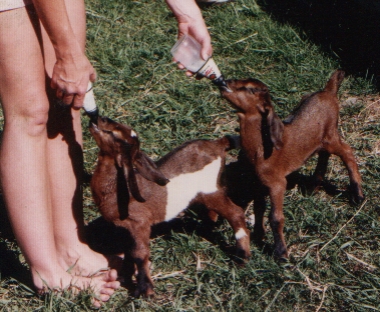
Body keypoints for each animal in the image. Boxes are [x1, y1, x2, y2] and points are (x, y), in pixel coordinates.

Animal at [88, 117, 249, 298]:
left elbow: (140, 253)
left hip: (210, 190)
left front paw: (145, 289)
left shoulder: (139, 222)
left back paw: (242, 256)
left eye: (120, 137)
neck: (117, 188)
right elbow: (130, 250)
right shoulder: (126, 229)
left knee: (235, 213)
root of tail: (218, 143)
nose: (99, 119)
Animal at [220, 70, 366, 258]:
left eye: (251, 89)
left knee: (347, 152)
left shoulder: (277, 183)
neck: (260, 149)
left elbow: (276, 218)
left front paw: (281, 252)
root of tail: (328, 91)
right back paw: (313, 186)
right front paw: (259, 235)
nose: (224, 83)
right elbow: (259, 208)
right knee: (324, 154)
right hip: (322, 138)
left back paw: (358, 194)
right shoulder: (259, 183)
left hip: (331, 135)